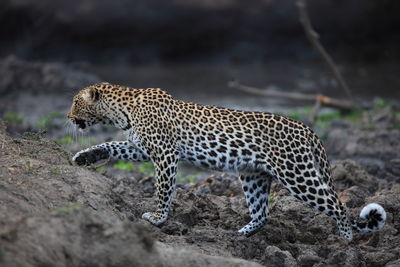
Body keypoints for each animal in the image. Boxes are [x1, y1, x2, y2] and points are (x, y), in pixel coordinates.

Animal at [67, 82, 386, 242]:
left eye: (74, 102)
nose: (69, 117)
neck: (121, 110)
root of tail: (307, 128)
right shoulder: (143, 149)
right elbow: (111, 146)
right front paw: (84, 156)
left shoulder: (165, 153)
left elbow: (163, 189)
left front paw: (157, 218)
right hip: (254, 176)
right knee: (262, 213)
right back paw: (239, 234)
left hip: (297, 174)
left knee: (338, 205)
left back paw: (346, 240)